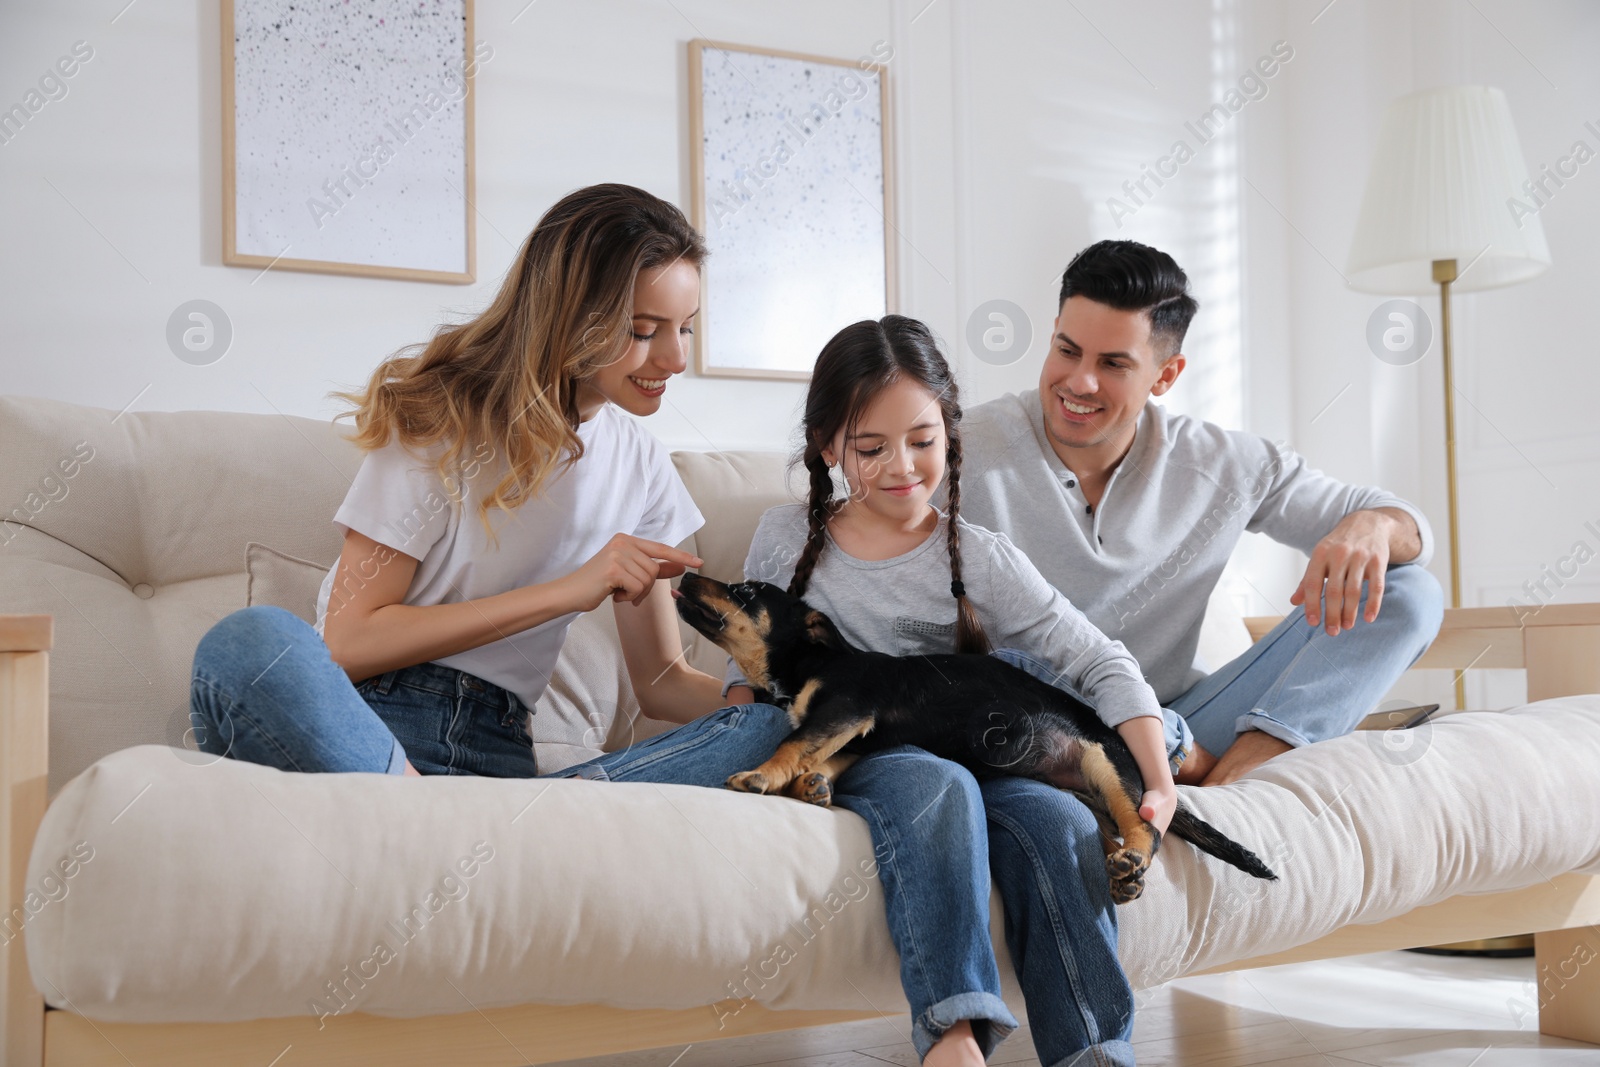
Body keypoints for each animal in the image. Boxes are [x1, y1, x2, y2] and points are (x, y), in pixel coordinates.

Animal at [675, 572, 1273, 908]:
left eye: (746, 591)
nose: (681, 573)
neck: (808, 661)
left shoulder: (845, 707)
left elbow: (793, 744)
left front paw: (762, 776)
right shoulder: (856, 731)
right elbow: (824, 758)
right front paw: (813, 786)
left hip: (1108, 766)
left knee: (1147, 827)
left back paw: (1130, 866)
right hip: (1084, 794)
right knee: (1113, 835)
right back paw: (1124, 875)